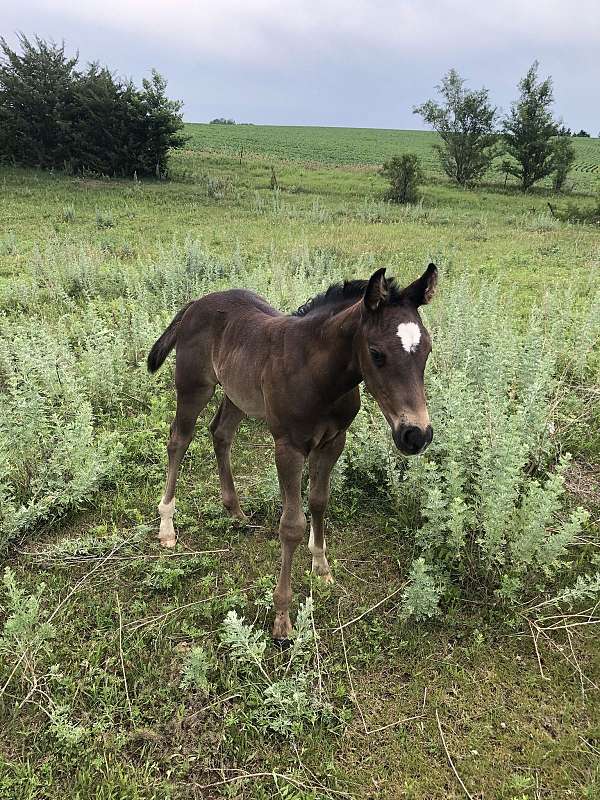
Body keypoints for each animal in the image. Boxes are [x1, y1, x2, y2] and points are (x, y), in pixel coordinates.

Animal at [147, 264, 437, 642]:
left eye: (427, 350)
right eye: (376, 353)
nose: (416, 435)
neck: (318, 375)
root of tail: (197, 302)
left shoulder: (334, 441)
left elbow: (319, 501)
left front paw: (322, 567)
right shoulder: (288, 447)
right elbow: (291, 526)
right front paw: (282, 619)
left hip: (238, 392)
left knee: (221, 433)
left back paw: (235, 511)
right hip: (194, 387)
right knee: (178, 441)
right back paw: (167, 526)